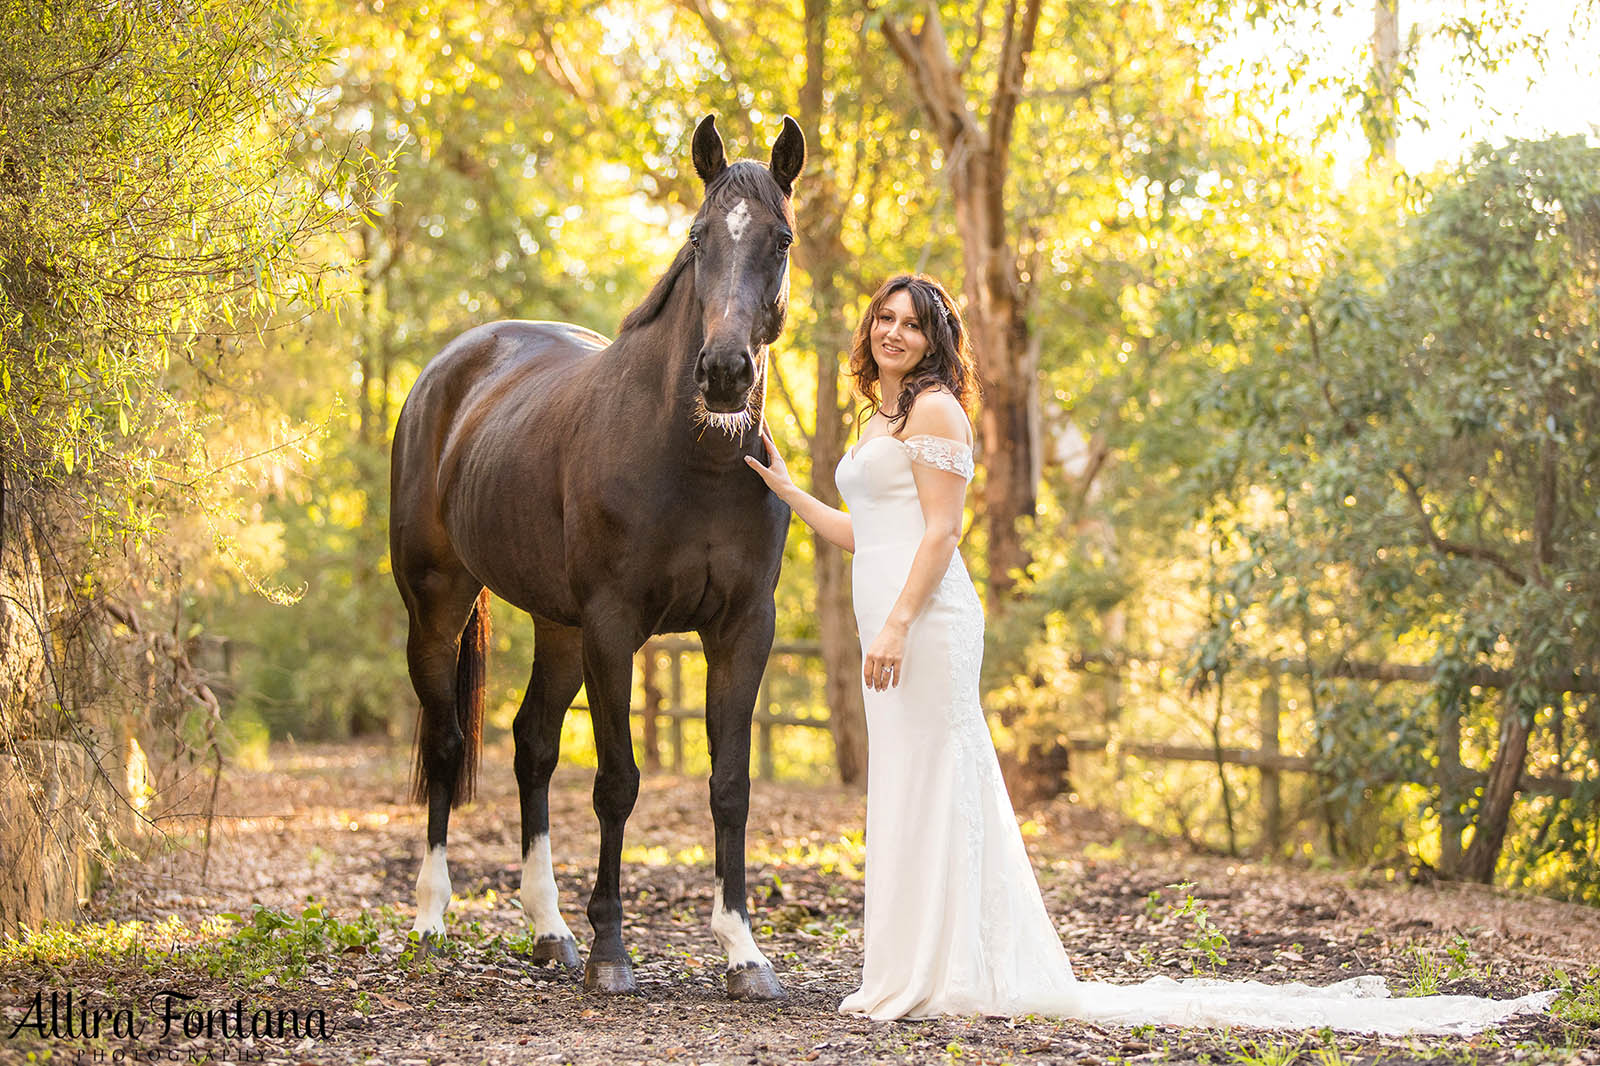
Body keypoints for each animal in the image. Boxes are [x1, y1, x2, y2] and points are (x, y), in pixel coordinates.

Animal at [390, 116, 800, 998]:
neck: (697, 459)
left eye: (781, 238)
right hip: (439, 606)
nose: (724, 373)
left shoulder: (742, 631)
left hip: (559, 628)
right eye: (698, 235)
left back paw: (548, 932)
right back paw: (430, 920)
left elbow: (730, 786)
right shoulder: (616, 628)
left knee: (532, 749)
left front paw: (743, 952)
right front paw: (613, 949)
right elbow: (617, 783)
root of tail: (451, 367)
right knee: (447, 744)